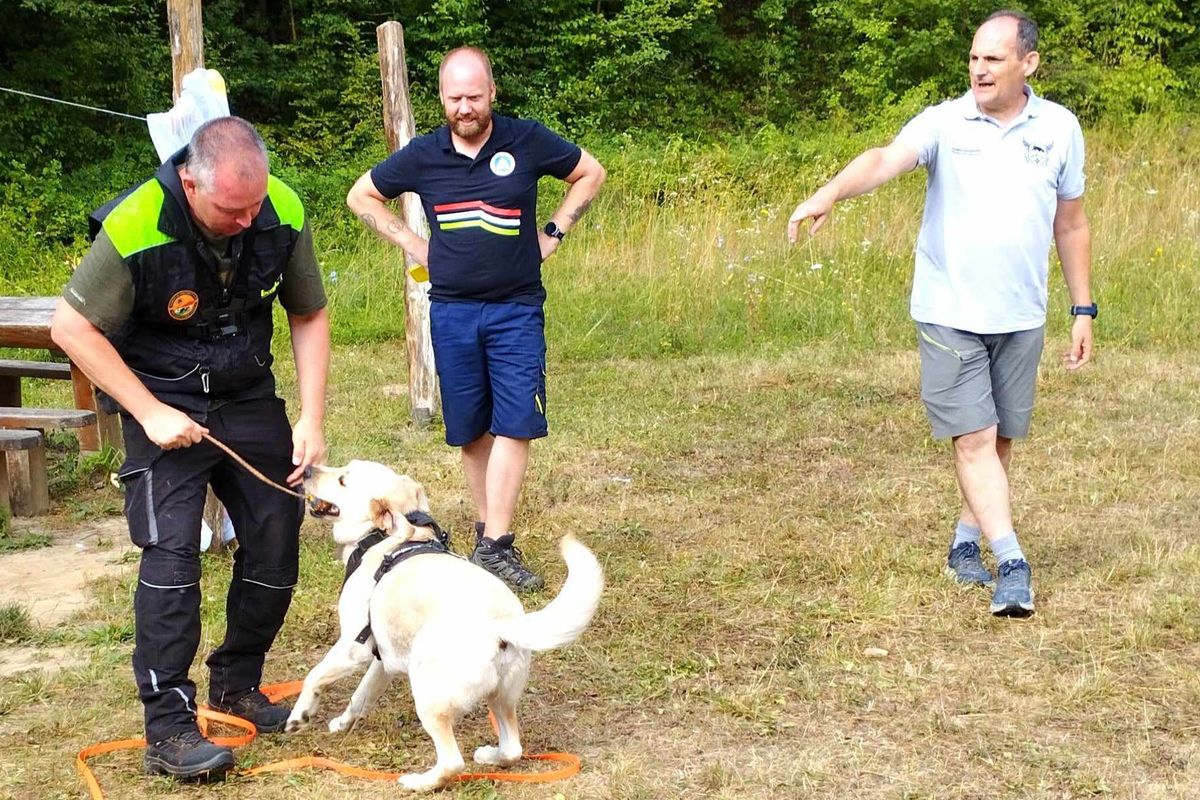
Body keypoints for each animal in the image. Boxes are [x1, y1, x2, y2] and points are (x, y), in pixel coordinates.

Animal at [286, 460, 604, 791]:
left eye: (343, 479)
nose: (306, 469)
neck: (384, 538)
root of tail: (502, 624)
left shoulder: (354, 646)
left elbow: (314, 676)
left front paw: (299, 716)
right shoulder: (382, 661)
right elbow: (360, 697)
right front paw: (341, 722)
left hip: (428, 694)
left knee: (453, 761)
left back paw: (418, 782)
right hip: (501, 697)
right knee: (512, 749)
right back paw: (489, 756)